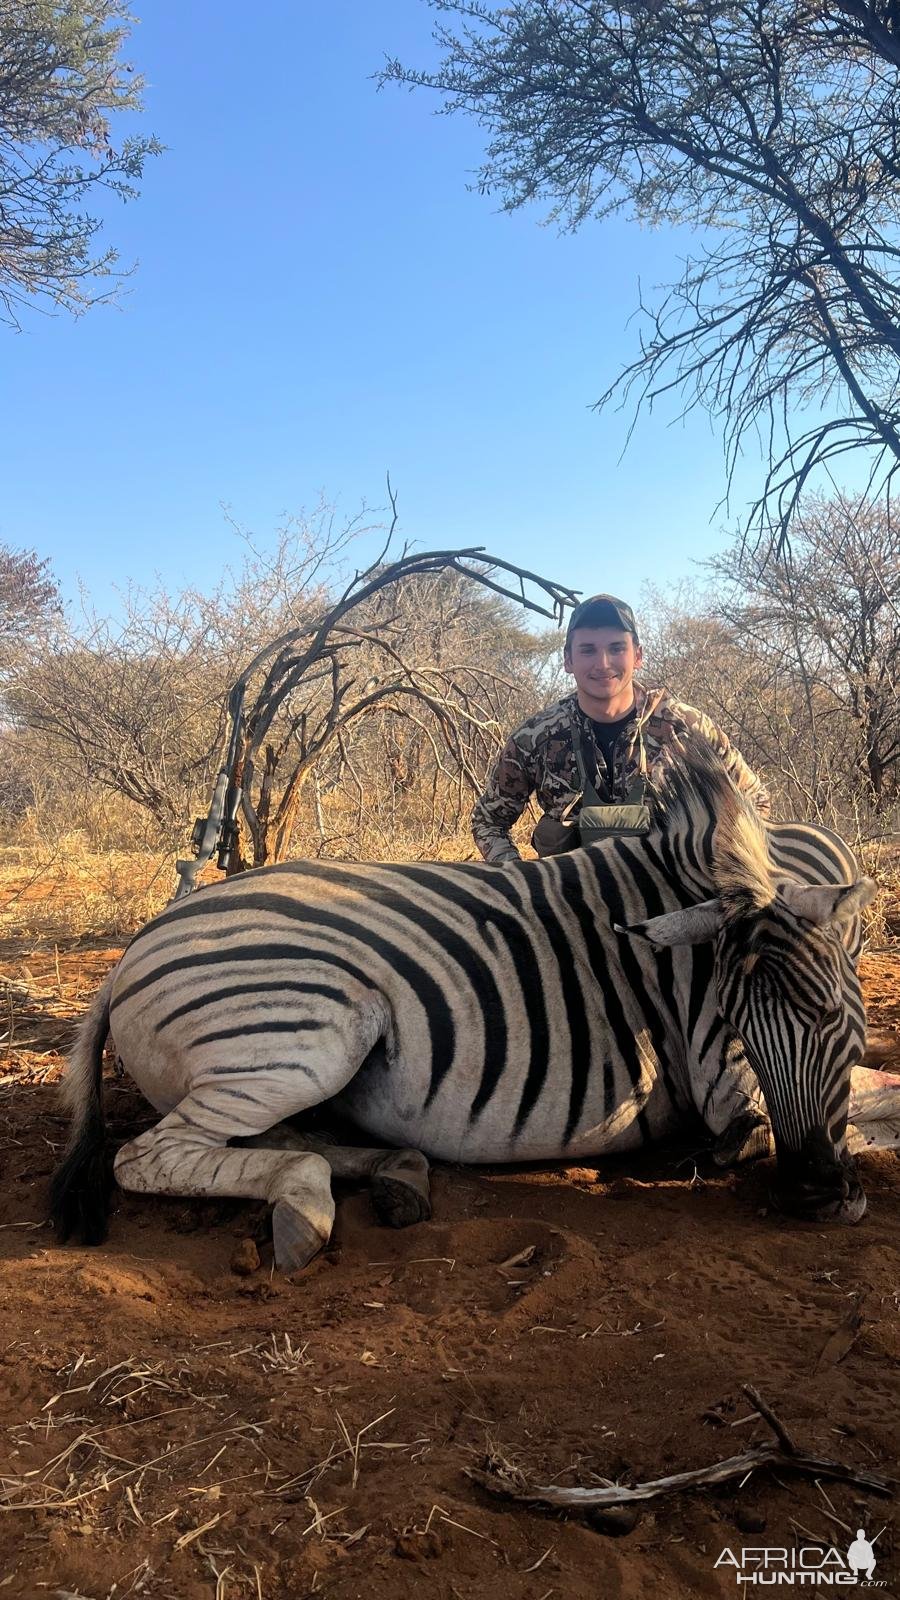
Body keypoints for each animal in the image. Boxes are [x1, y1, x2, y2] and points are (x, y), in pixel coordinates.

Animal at [52, 739, 871, 1273]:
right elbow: (815, 1119)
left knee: (274, 1140)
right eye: (740, 1027)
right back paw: (306, 1208)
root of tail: (132, 950)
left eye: (832, 1016)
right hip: (303, 1034)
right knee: (153, 1156)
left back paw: (398, 1176)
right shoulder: (717, 1075)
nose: (811, 1195)